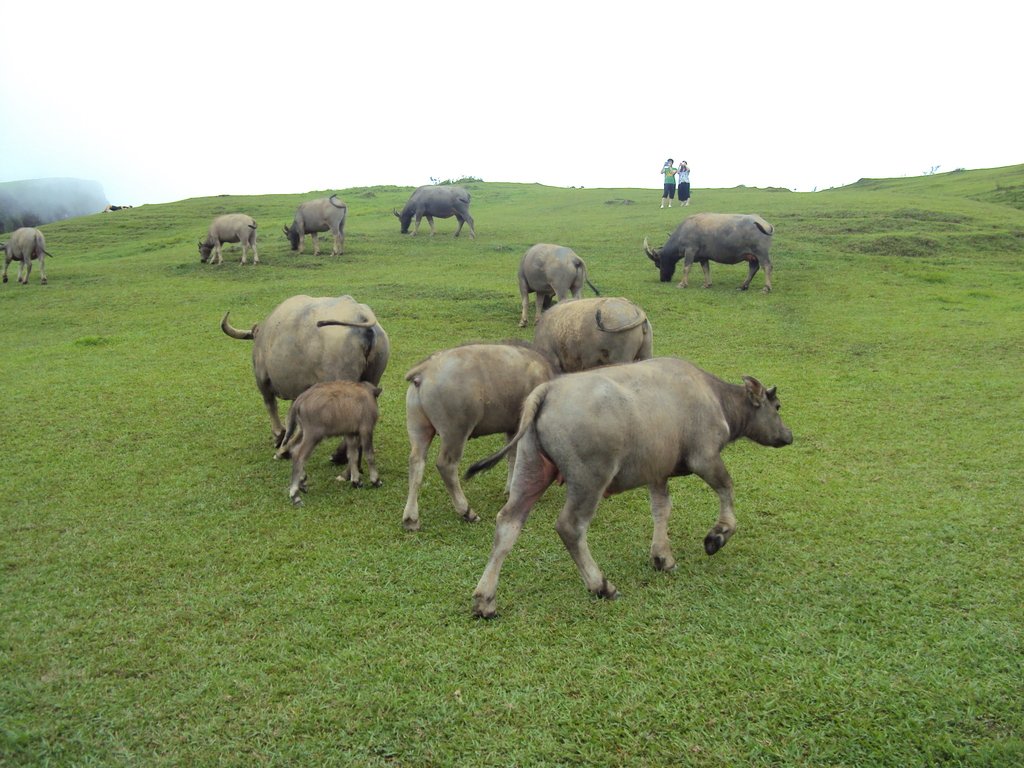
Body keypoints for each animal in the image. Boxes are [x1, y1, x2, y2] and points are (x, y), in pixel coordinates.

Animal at [401, 344, 561, 532]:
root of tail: (425, 370)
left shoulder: (512, 428)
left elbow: (512, 457)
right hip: (455, 432)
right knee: (446, 465)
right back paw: (467, 511)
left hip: (419, 428)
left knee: (416, 462)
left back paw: (411, 519)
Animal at [468, 358, 794, 618]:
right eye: (777, 406)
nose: (788, 435)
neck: (714, 397)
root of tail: (548, 391)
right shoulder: (705, 457)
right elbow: (727, 488)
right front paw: (718, 535)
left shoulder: (657, 472)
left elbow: (662, 509)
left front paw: (662, 556)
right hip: (590, 479)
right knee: (570, 527)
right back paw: (601, 585)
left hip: (531, 470)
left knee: (508, 523)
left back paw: (485, 600)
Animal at [638, 214, 774, 290]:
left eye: (658, 264)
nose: (663, 279)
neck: (683, 232)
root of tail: (765, 224)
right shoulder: (703, 257)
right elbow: (706, 269)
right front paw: (707, 284)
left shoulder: (690, 251)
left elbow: (686, 268)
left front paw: (682, 284)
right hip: (752, 256)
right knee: (753, 268)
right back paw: (743, 286)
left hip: (761, 253)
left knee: (766, 266)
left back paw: (766, 288)